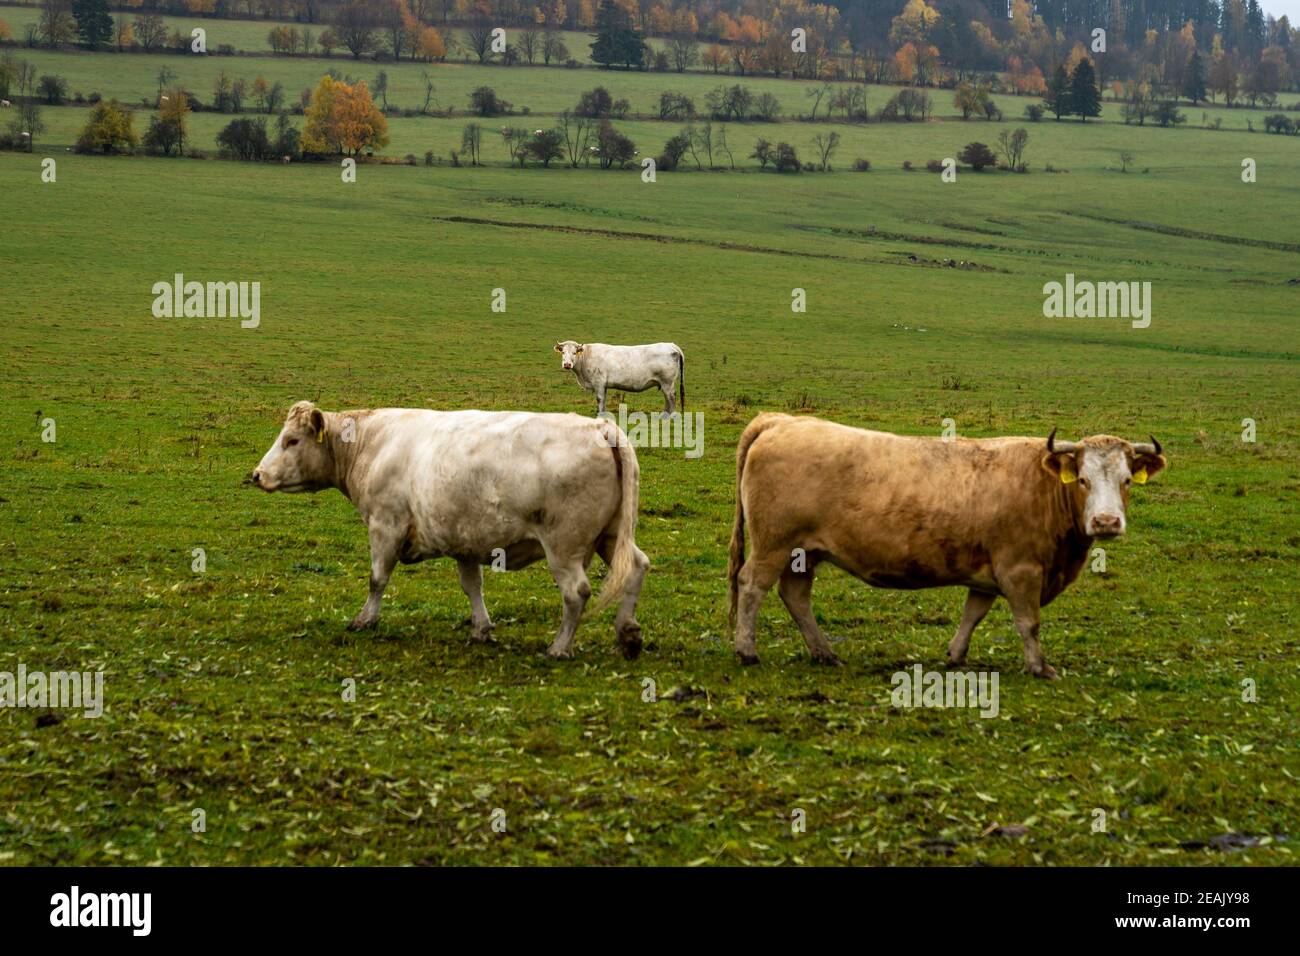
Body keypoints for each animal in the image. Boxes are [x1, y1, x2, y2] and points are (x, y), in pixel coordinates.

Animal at [248, 400, 650, 660]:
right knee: (637, 566)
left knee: (576, 592)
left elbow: (377, 578)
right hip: (612, 535)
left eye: (292, 441)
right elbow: (472, 586)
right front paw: (481, 629)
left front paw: (365, 619)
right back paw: (628, 633)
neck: (373, 444)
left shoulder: (385, 524)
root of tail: (602, 428)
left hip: (564, 546)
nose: (257, 475)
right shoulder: (465, 540)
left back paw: (560, 647)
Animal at [553, 343, 686, 418]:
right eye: (563, 352)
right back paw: (665, 415)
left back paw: (671, 416)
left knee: (671, 396)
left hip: (667, 381)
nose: (567, 364)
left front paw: (600, 415)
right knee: (667, 397)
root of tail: (671, 345)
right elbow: (603, 399)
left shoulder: (598, 382)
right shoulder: (603, 385)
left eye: (574, 352)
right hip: (665, 383)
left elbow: (599, 399)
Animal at [722, 416, 1170, 676]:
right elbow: (1028, 622)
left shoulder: (989, 573)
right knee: (752, 585)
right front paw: (1040, 667)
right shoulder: (1021, 569)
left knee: (795, 595)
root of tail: (781, 420)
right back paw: (747, 650)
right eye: (1083, 480)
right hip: (774, 544)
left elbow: (973, 613)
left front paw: (956, 655)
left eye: (1127, 480)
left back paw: (824, 653)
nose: (1106, 522)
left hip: (804, 553)